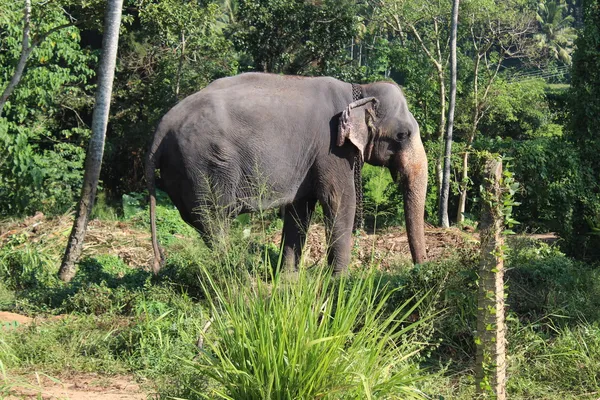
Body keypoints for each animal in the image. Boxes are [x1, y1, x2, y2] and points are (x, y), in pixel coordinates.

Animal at [145, 72, 426, 276]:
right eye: (403, 135)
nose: (419, 270)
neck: (359, 90)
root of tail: (161, 127)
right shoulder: (331, 149)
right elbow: (340, 201)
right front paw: (341, 281)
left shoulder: (310, 158)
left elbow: (299, 209)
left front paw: (289, 279)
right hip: (204, 166)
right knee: (215, 220)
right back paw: (234, 277)